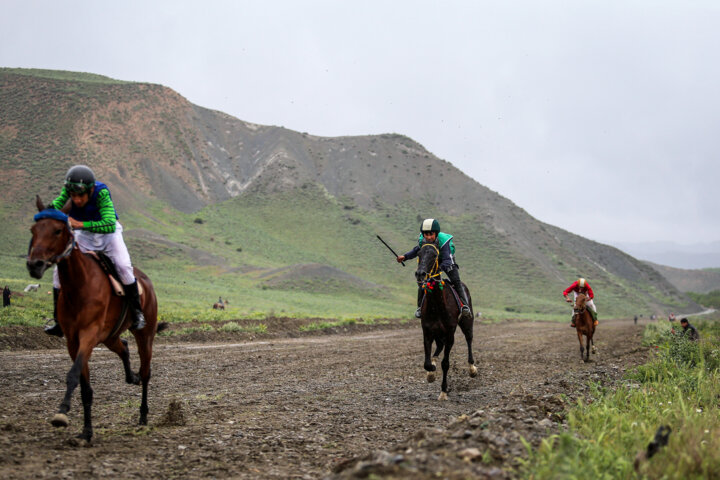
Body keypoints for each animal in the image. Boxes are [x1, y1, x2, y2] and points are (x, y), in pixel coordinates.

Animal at [27, 196, 165, 442]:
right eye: (34, 230)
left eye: (58, 230)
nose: (35, 264)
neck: (79, 285)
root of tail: (145, 281)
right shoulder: (73, 340)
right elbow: (84, 386)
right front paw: (86, 430)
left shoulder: (89, 335)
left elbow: (73, 375)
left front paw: (62, 412)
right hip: (110, 336)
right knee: (123, 346)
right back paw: (131, 377)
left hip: (145, 334)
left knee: (146, 372)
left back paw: (143, 414)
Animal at [414, 240, 476, 402]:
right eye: (419, 253)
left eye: (435, 255)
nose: (420, 274)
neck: (436, 305)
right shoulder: (427, 332)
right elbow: (427, 363)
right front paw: (431, 372)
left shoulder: (449, 334)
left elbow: (445, 363)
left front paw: (443, 391)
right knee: (438, 348)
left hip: (467, 323)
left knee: (469, 339)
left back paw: (472, 368)